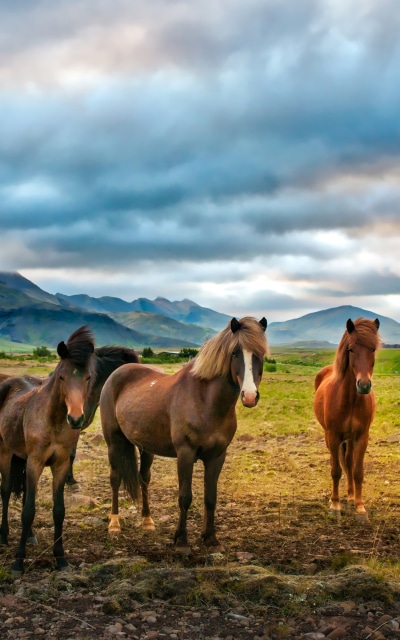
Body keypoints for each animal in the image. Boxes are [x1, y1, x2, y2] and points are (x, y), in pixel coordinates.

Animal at [0, 325, 95, 576]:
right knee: (5, 491)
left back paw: (30, 536)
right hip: (5, 454)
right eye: (61, 376)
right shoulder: (35, 462)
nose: (76, 418)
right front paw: (18, 562)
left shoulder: (60, 464)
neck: (53, 420)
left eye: (88, 377)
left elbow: (58, 510)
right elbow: (28, 511)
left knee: (23, 493)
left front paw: (60, 558)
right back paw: (4, 536)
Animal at [100, 316, 268, 552]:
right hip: (113, 441)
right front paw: (181, 540)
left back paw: (147, 520)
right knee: (115, 478)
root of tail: (117, 374)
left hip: (146, 447)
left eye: (260, 354)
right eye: (235, 352)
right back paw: (114, 523)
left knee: (144, 478)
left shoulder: (217, 456)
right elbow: (185, 497)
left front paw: (210, 539)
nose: (250, 396)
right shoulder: (185, 454)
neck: (205, 401)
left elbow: (210, 497)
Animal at [313, 317, 381, 520]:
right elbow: (335, 471)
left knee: (349, 463)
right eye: (351, 349)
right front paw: (335, 506)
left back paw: (351, 496)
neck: (350, 400)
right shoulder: (334, 436)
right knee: (337, 462)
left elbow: (357, 471)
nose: (364, 385)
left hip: (350, 439)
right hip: (330, 437)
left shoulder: (361, 437)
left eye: (373, 349)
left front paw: (360, 507)